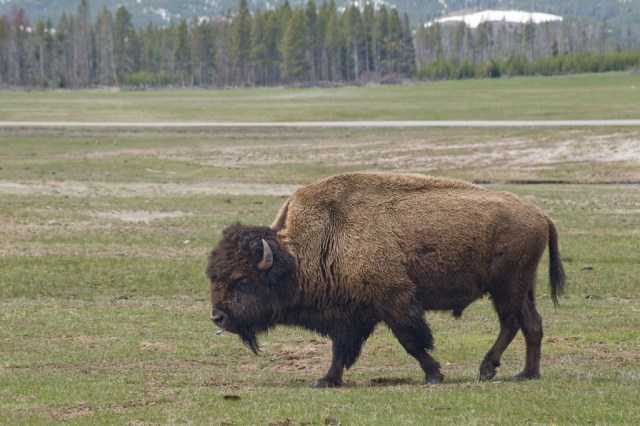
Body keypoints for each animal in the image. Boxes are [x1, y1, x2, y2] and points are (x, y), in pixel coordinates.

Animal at [207, 172, 566, 387]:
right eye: (214, 276)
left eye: (242, 280)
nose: (218, 317)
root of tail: (540, 215)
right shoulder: (351, 314)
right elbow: (340, 349)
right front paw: (327, 380)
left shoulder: (395, 302)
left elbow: (411, 341)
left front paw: (434, 375)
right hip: (522, 287)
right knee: (531, 323)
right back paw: (526, 373)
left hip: (507, 287)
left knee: (512, 323)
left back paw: (488, 370)